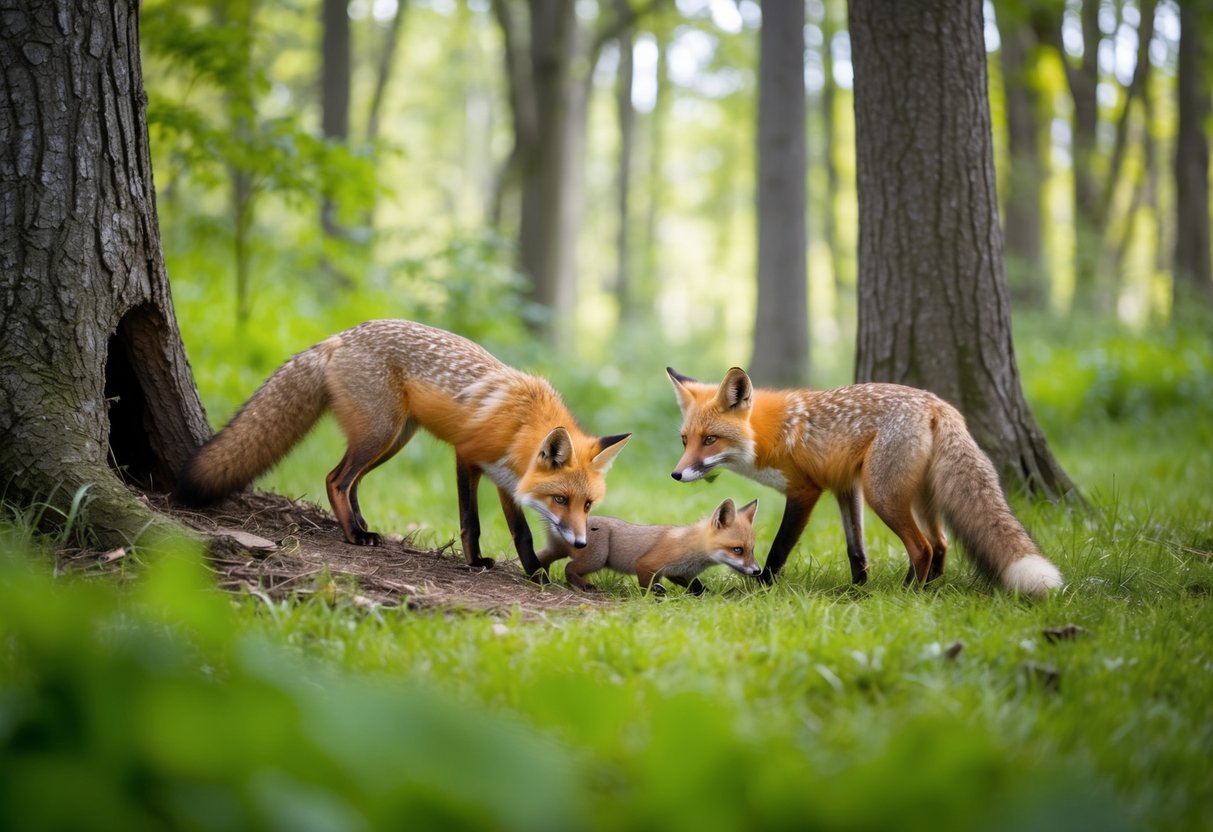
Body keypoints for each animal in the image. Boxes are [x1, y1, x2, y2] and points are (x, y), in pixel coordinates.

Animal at [173, 319, 631, 577]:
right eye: (560, 499)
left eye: (588, 505)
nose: (580, 545)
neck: (521, 425)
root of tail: (339, 337)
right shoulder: (468, 457)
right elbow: (472, 522)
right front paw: (477, 564)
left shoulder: (506, 480)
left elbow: (520, 533)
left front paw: (534, 573)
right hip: (380, 433)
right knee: (335, 478)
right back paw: (355, 535)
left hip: (392, 441)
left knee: (352, 482)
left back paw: (361, 525)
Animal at [537, 497, 761, 594]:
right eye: (737, 550)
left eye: (752, 549)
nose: (758, 571)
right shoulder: (646, 565)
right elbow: (647, 587)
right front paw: (652, 597)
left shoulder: (677, 572)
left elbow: (696, 586)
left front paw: (706, 594)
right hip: (597, 559)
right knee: (568, 568)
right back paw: (583, 585)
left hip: (559, 551)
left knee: (541, 557)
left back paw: (539, 576)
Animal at [666, 366, 1063, 596]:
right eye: (685, 440)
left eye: (711, 440)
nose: (676, 474)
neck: (766, 434)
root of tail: (938, 405)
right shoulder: (846, 486)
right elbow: (855, 549)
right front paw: (857, 590)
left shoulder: (805, 490)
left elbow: (779, 548)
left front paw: (761, 588)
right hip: (918, 497)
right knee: (941, 543)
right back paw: (929, 589)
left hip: (882, 494)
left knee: (922, 547)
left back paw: (908, 594)